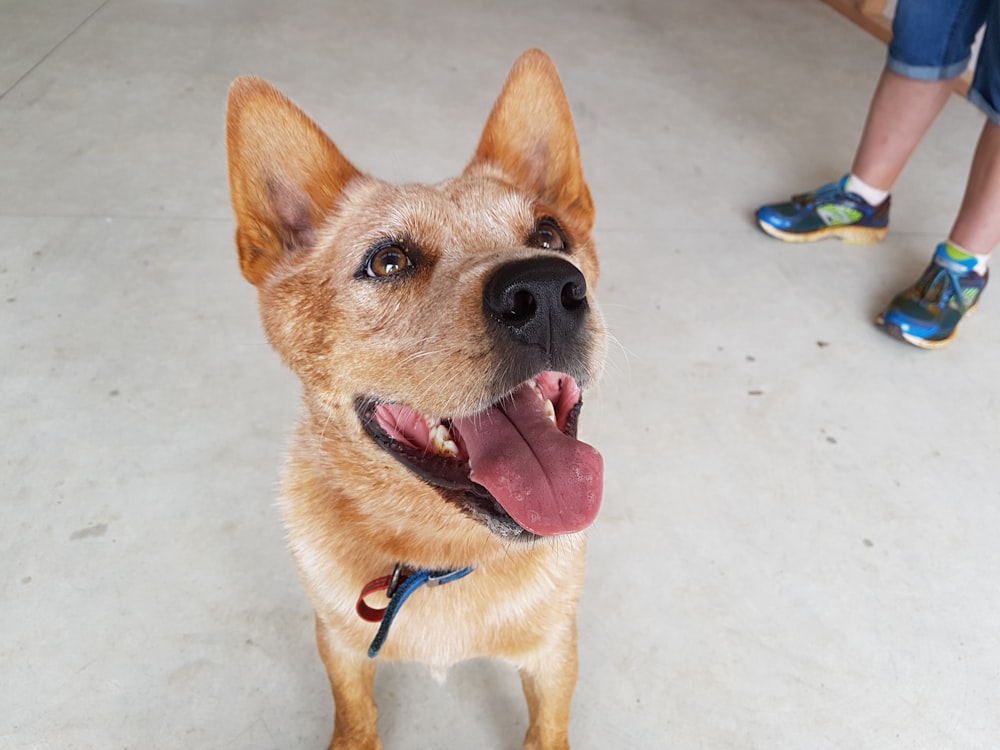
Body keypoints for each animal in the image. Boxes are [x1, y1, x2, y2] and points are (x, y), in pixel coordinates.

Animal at [226, 48, 604, 750]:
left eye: (548, 234)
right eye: (388, 261)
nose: (544, 290)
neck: (443, 555)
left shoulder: (553, 650)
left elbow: (546, 728)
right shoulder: (338, 644)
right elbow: (355, 716)